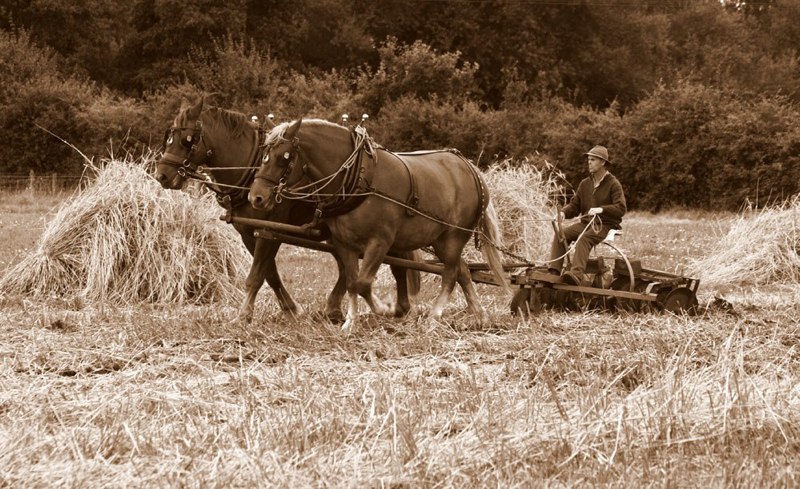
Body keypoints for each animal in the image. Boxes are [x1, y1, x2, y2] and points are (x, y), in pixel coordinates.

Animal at [154, 96, 420, 323]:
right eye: (169, 136)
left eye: (187, 140)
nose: (162, 176)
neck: (251, 168)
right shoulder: (249, 233)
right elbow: (269, 274)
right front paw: (290, 309)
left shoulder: (270, 231)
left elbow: (256, 276)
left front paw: (244, 316)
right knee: (348, 266)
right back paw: (336, 309)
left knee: (397, 262)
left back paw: (397, 307)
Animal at [248, 118, 509, 331]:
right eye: (264, 155)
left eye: (284, 157)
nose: (256, 197)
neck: (359, 179)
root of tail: (470, 168)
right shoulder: (344, 244)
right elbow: (352, 283)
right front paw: (350, 323)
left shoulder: (380, 242)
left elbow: (363, 284)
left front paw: (386, 309)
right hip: (440, 240)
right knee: (463, 271)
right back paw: (479, 316)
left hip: (454, 236)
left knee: (451, 273)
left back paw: (434, 317)